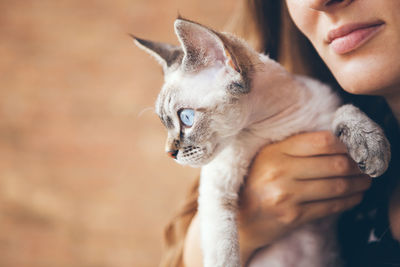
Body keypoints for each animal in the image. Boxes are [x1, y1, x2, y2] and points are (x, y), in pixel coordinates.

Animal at [131, 17, 390, 266]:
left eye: (186, 118)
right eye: (165, 123)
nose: (169, 153)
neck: (275, 123)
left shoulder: (326, 115)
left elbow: (346, 109)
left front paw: (373, 148)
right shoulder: (218, 190)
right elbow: (223, 251)